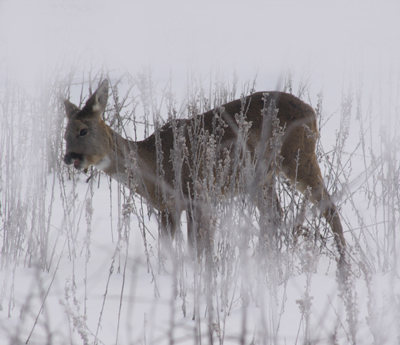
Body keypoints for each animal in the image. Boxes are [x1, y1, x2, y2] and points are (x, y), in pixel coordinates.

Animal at [64, 80, 346, 258]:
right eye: (64, 133)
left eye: (83, 130)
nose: (68, 157)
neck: (153, 165)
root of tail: (312, 111)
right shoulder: (167, 207)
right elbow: (171, 248)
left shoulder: (196, 196)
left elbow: (198, 247)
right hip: (261, 178)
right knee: (275, 215)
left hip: (298, 157)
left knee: (328, 206)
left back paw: (344, 261)